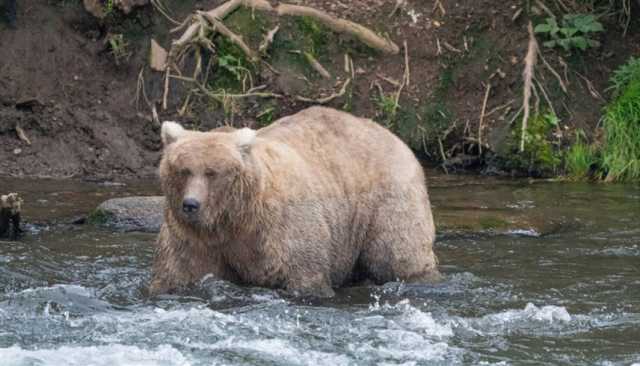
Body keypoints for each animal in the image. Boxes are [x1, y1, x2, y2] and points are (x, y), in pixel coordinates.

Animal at [150, 104, 440, 296]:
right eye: (184, 170)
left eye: (212, 172)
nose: (191, 204)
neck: (234, 218)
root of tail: (395, 137)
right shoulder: (193, 238)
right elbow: (178, 272)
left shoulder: (280, 228)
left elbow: (304, 273)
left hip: (387, 199)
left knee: (397, 253)